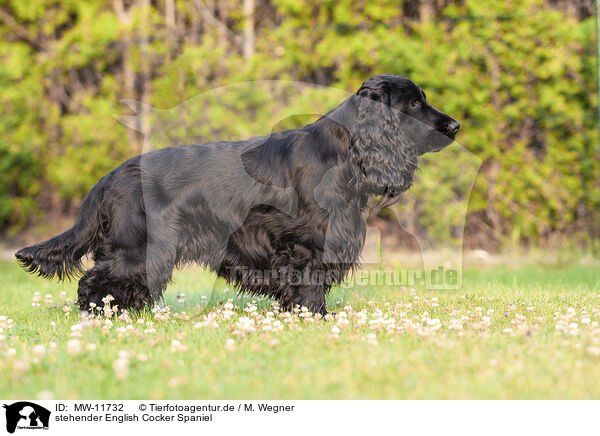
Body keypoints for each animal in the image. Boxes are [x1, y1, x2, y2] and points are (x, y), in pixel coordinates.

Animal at [17, 74, 460, 314]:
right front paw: (316, 319)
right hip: (137, 244)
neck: (346, 153)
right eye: (414, 104)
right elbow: (309, 288)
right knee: (96, 282)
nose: (455, 126)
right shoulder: (304, 245)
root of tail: (109, 177)